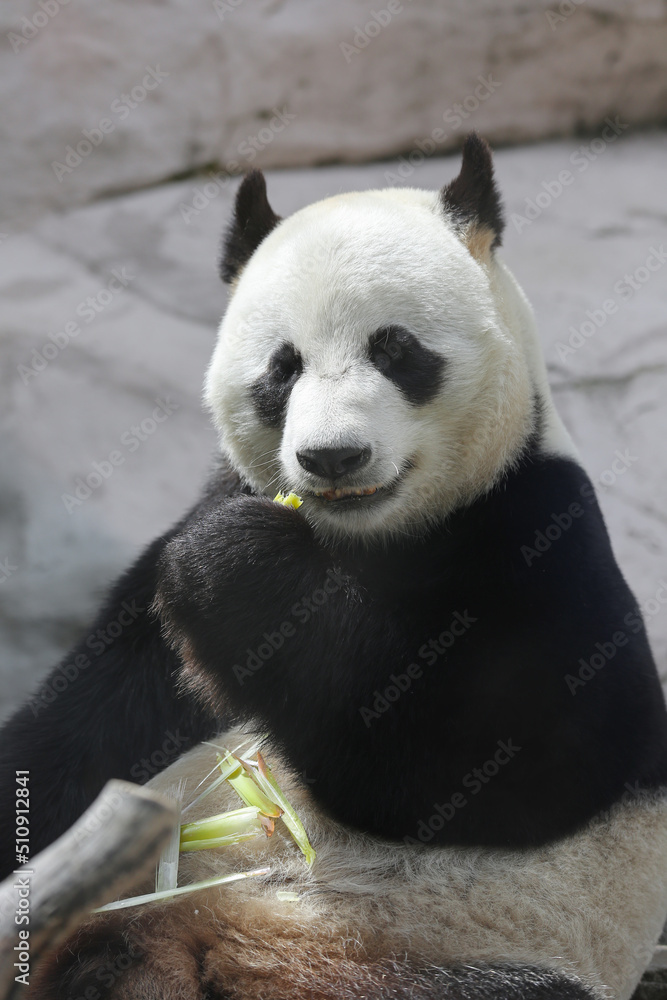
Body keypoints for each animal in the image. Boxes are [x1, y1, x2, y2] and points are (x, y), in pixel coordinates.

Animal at [1, 135, 667, 1000]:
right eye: (282, 368)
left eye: (396, 349)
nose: (332, 457)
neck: (363, 536)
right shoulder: (181, 559)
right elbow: (85, 730)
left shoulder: (534, 530)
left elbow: (494, 766)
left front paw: (235, 568)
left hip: (469, 951)